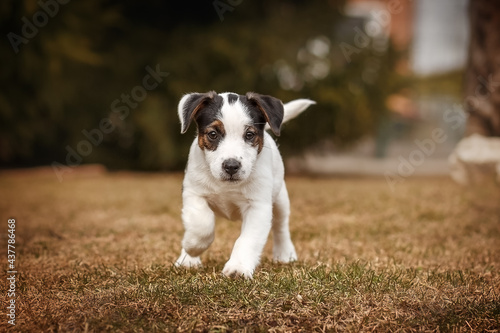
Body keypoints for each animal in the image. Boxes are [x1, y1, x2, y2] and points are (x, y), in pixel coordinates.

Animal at [174, 91, 314, 278]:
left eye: (249, 135)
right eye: (213, 134)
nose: (231, 166)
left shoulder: (258, 207)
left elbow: (248, 240)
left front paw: (238, 268)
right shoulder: (193, 193)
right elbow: (201, 224)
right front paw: (192, 247)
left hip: (280, 200)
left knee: (280, 227)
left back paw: (285, 254)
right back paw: (186, 260)